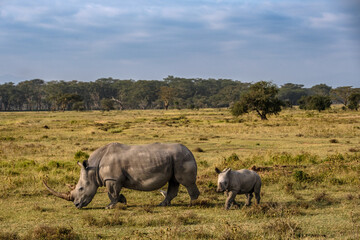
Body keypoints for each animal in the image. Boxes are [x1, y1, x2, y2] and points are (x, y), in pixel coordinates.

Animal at [43, 142, 200, 208]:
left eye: (81, 189)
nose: (76, 205)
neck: (93, 169)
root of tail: (190, 151)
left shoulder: (112, 179)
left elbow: (111, 193)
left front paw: (110, 207)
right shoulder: (113, 179)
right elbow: (114, 193)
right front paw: (123, 200)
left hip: (181, 158)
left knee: (186, 182)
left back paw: (192, 205)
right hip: (175, 159)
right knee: (173, 181)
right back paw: (162, 205)